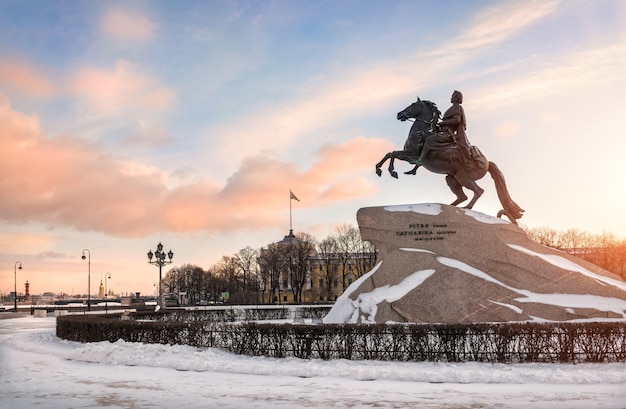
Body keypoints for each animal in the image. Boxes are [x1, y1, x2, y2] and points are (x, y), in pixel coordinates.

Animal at [376, 97, 520, 223]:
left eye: (412, 105)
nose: (399, 114)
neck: (421, 132)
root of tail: (488, 163)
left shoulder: (412, 155)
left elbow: (393, 154)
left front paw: (392, 171)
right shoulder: (408, 156)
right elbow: (389, 154)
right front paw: (380, 170)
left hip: (464, 178)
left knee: (478, 191)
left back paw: (467, 207)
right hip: (452, 179)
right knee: (463, 196)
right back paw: (450, 206)